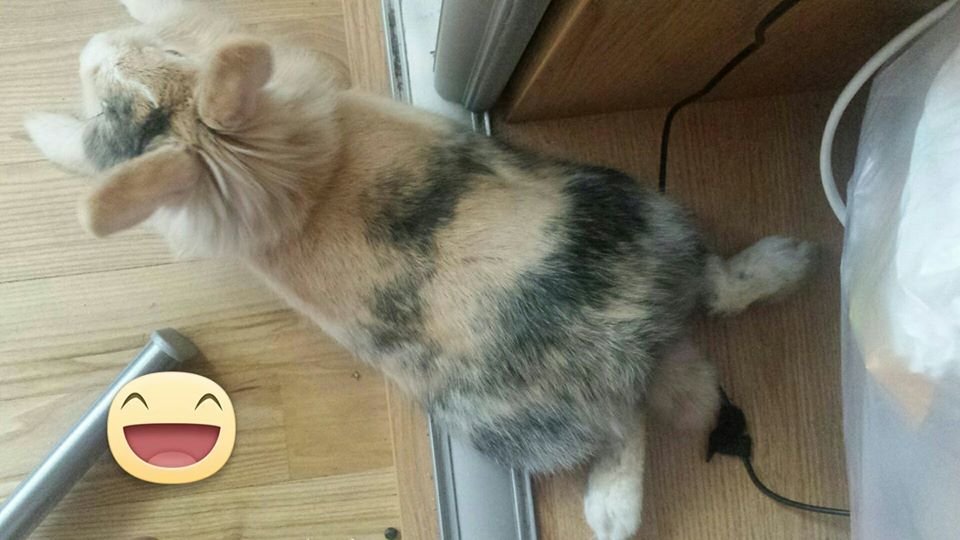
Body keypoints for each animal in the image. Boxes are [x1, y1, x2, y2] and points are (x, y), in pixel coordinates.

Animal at [24, 1, 817, 538]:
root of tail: (635, 342)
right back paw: (789, 264)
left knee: (633, 409)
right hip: (633, 228)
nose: (94, 48)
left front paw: (37, 124)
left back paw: (611, 510)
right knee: (696, 317)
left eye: (163, 51)